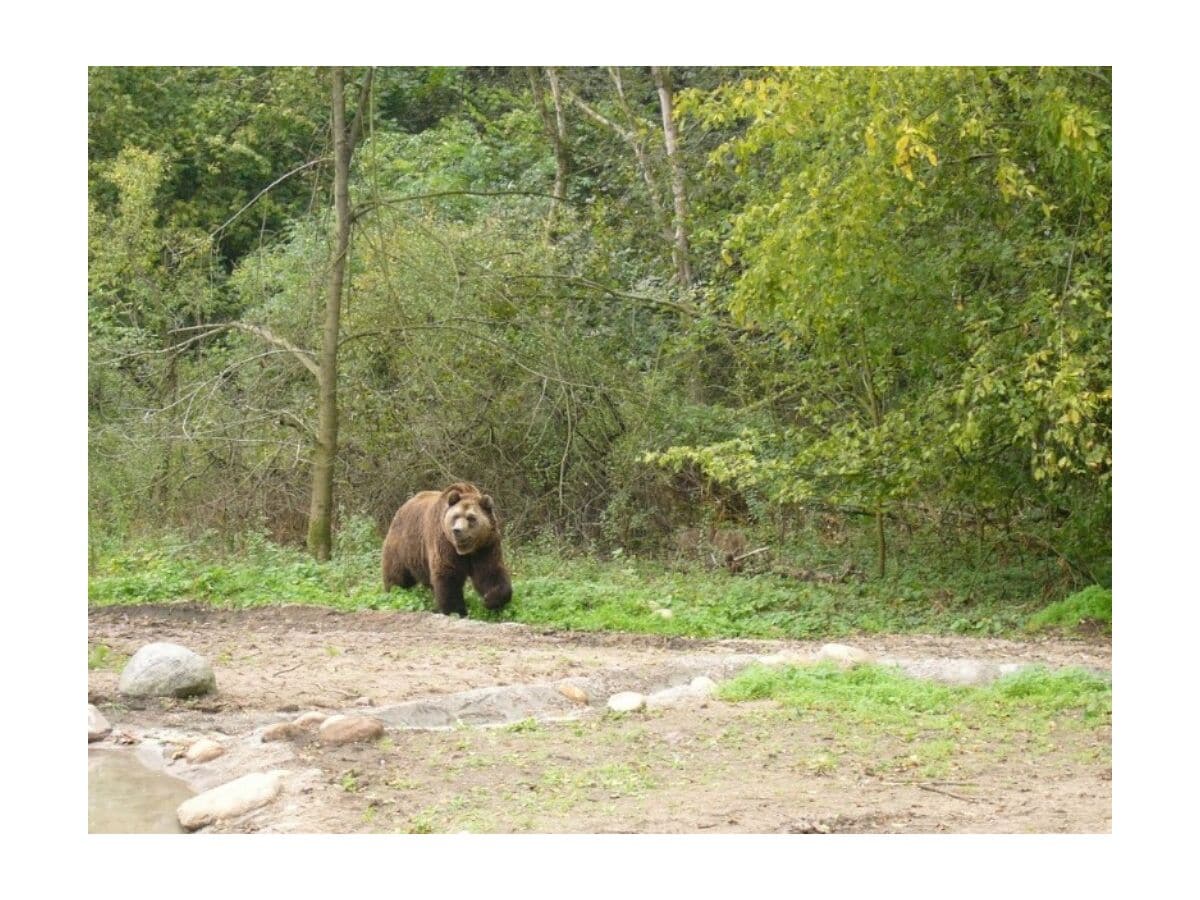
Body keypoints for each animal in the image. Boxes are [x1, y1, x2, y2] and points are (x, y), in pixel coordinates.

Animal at [379, 482, 511, 619]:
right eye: (455, 516)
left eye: (471, 518)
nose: (457, 530)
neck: (466, 550)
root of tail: (403, 507)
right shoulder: (445, 543)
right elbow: (448, 576)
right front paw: (456, 611)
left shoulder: (485, 546)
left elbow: (490, 571)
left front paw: (489, 600)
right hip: (403, 548)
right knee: (396, 577)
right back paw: (393, 593)